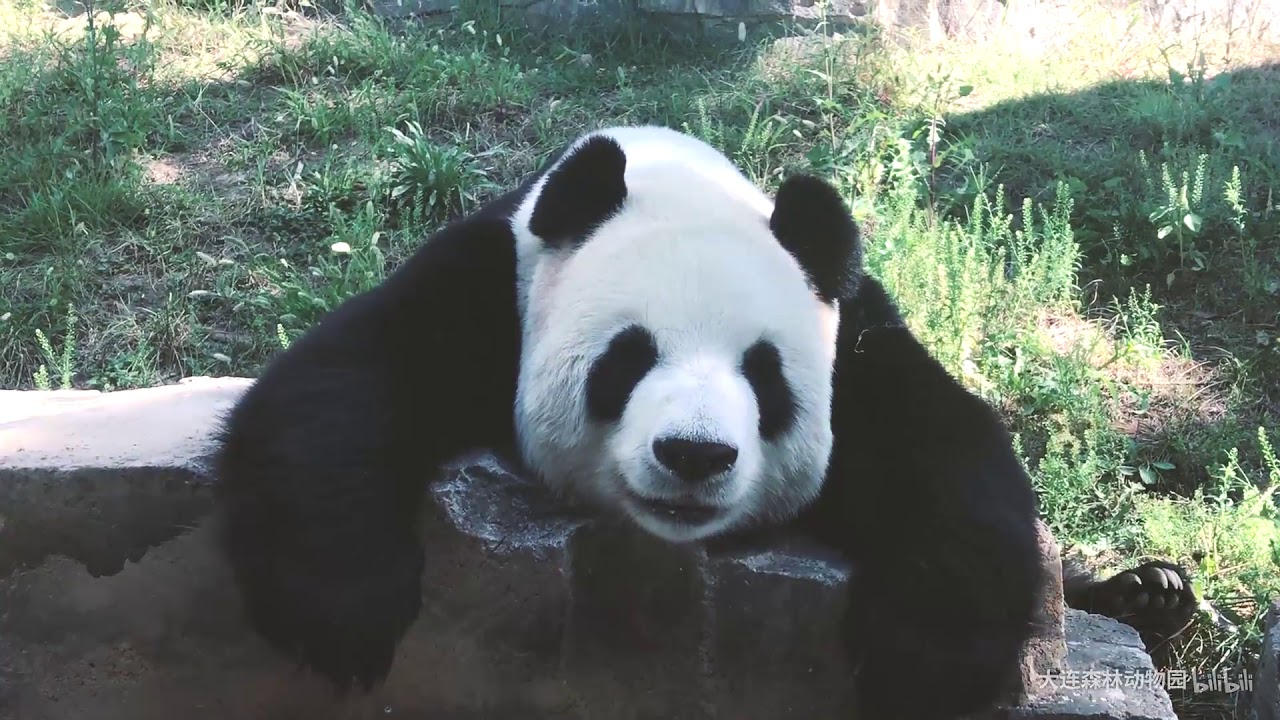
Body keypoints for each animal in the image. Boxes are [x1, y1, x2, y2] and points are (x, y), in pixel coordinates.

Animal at [212, 125, 1196, 720]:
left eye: (764, 376)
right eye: (626, 359)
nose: (693, 454)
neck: (670, 176)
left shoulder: (851, 332)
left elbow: (948, 449)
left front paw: (930, 664)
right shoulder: (496, 279)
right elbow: (341, 381)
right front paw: (341, 613)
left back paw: (1149, 595)